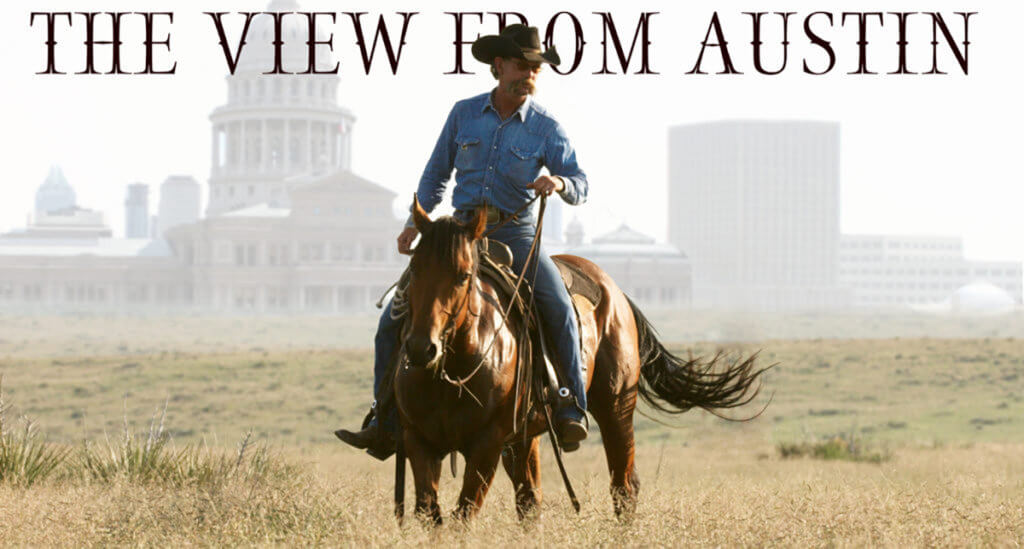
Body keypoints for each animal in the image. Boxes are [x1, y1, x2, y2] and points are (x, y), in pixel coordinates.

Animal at [395, 197, 765, 522]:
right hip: (525, 437)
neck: (454, 371)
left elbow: (463, 515)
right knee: (530, 500)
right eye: (414, 270)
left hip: (616, 408)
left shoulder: (487, 444)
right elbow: (431, 516)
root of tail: (615, 289)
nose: (421, 348)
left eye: (463, 275)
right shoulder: (419, 441)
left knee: (624, 488)